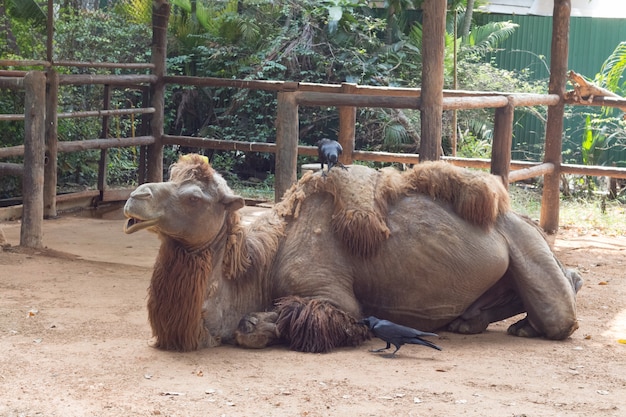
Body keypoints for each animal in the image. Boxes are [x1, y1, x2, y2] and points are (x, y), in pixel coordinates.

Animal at [122, 153, 580, 352]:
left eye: (194, 198)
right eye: (169, 175)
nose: (135, 197)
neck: (261, 263)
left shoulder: (327, 292)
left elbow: (259, 324)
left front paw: (261, 325)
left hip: (525, 241)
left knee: (560, 315)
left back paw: (528, 326)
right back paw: (471, 322)